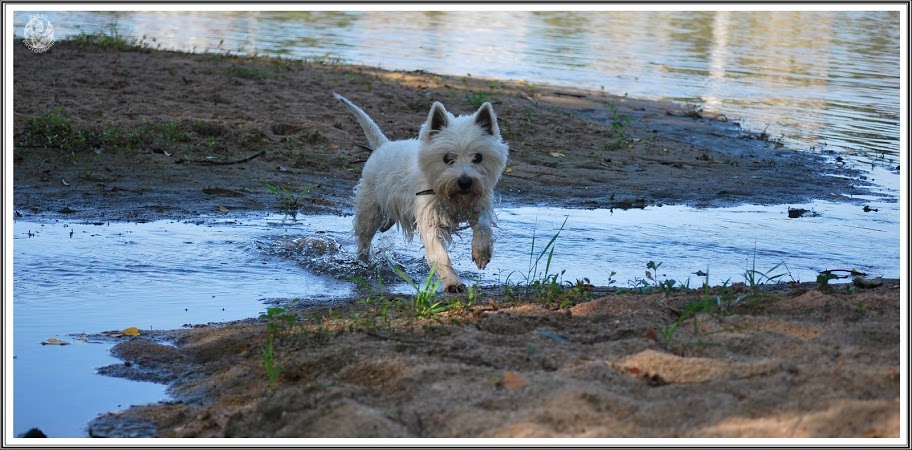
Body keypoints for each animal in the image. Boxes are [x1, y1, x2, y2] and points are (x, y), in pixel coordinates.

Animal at [334, 93, 510, 294]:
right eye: (447, 158)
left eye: (478, 157)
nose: (465, 181)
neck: (452, 196)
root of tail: (383, 146)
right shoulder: (431, 220)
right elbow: (440, 254)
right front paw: (452, 282)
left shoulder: (478, 203)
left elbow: (483, 225)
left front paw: (481, 253)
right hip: (369, 209)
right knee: (364, 239)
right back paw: (364, 262)